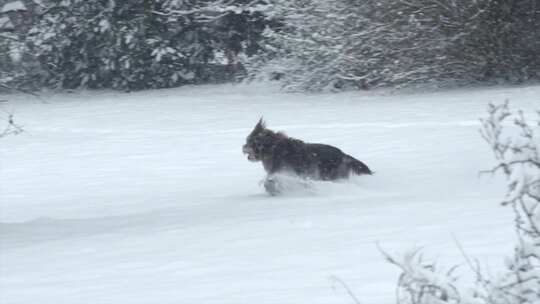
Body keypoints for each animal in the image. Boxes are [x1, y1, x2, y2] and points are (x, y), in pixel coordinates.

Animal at [242, 117, 372, 194]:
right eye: (248, 140)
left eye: (253, 143)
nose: (244, 147)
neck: (274, 149)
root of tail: (343, 155)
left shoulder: (282, 171)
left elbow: (269, 181)